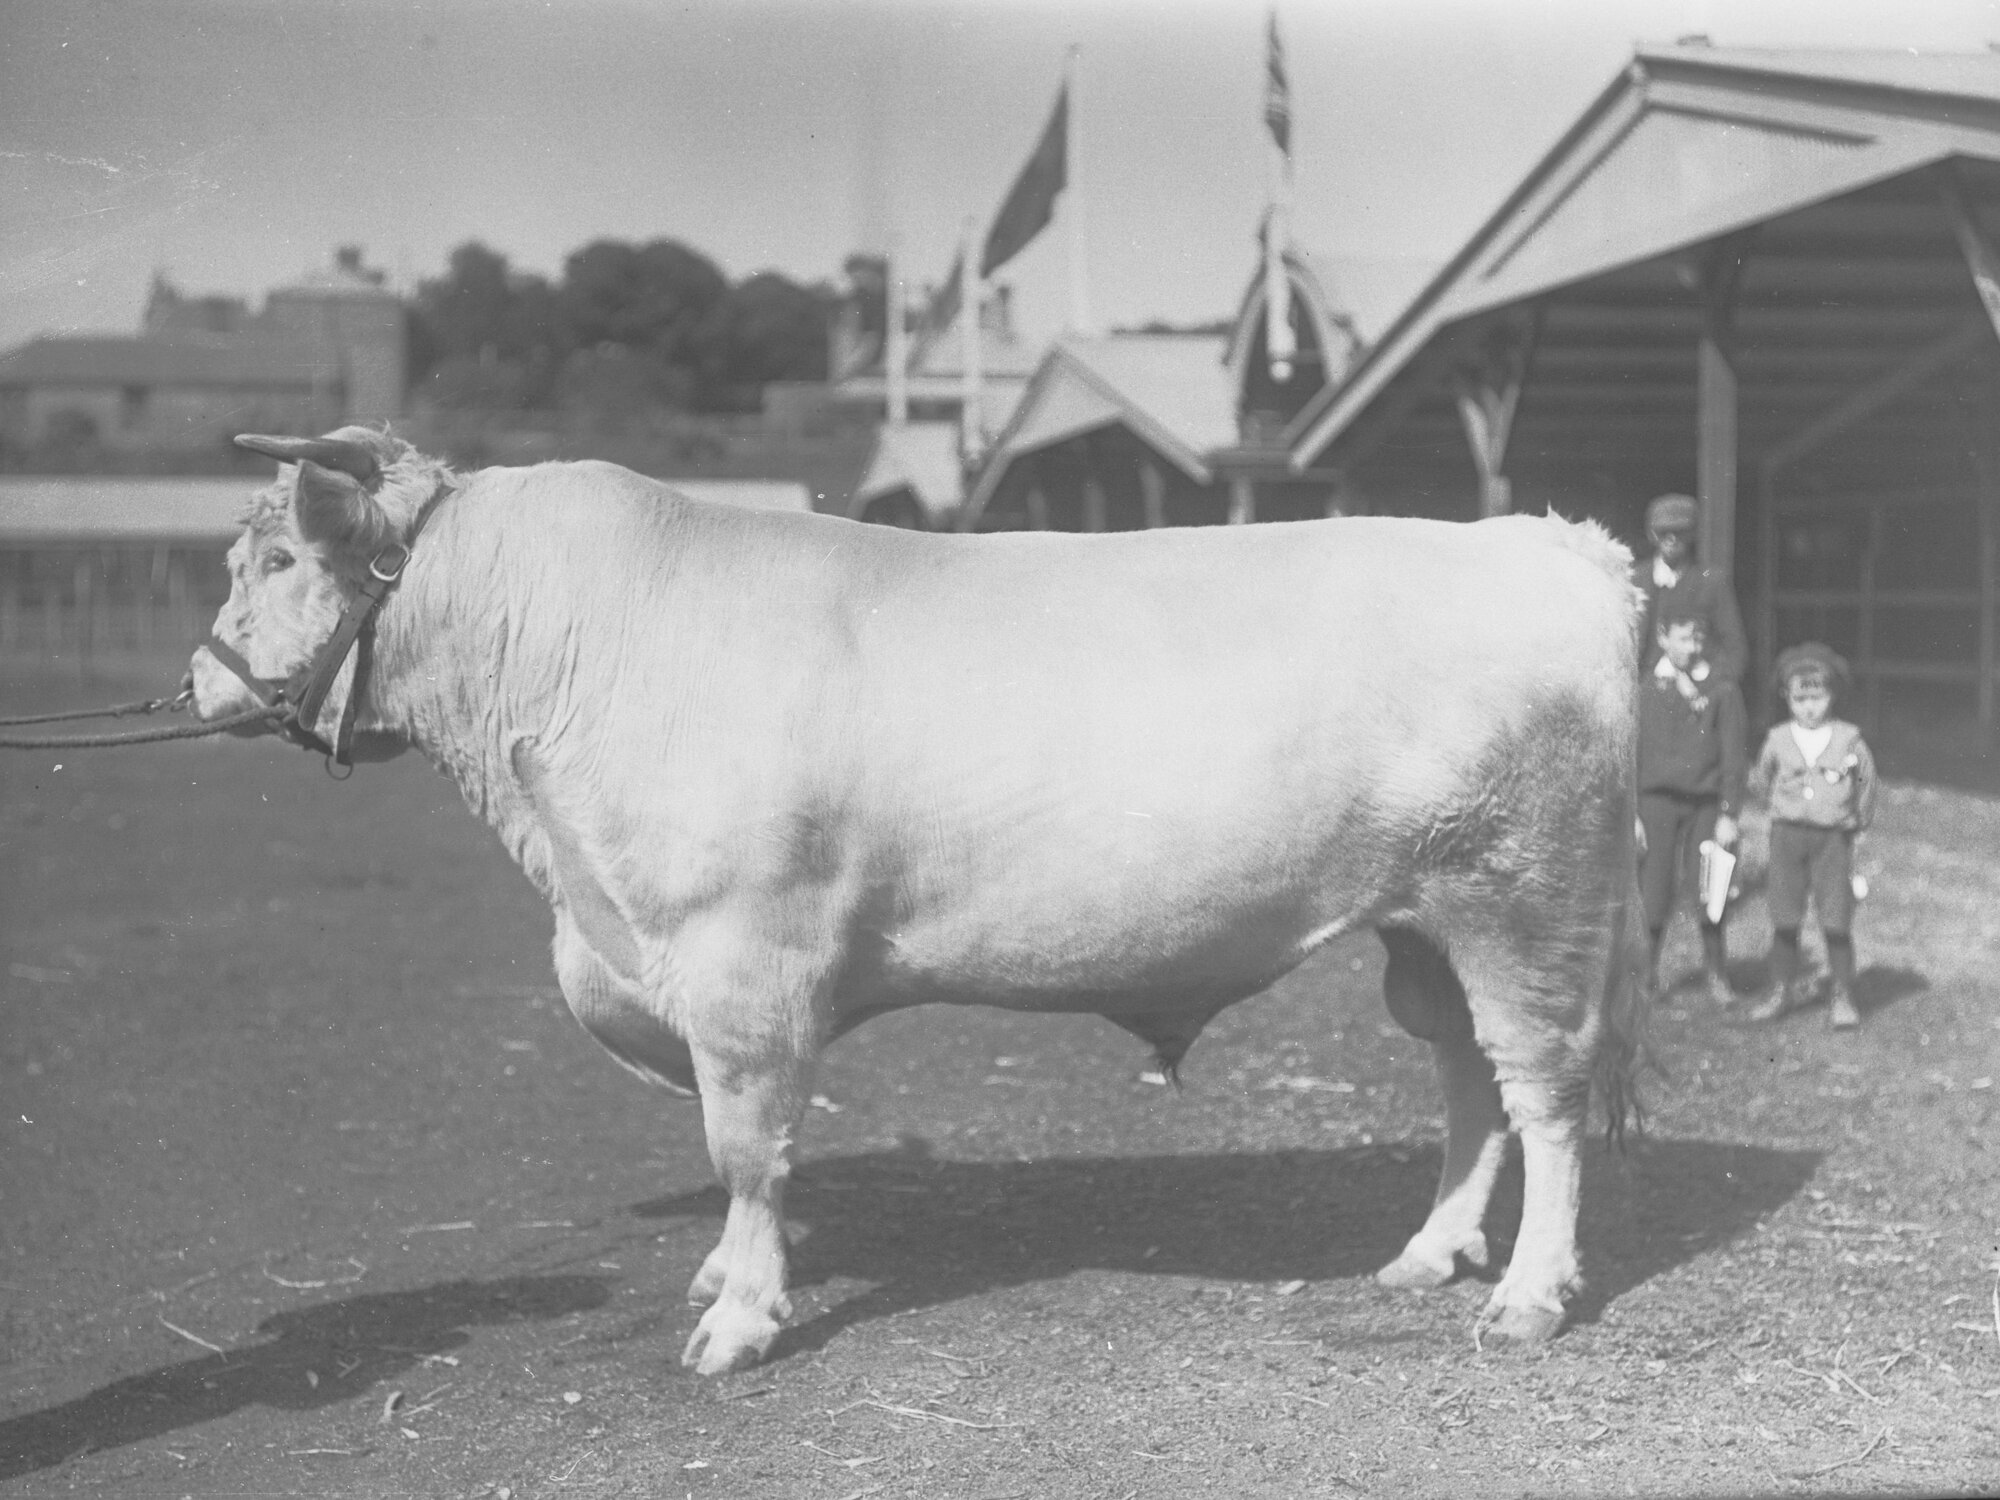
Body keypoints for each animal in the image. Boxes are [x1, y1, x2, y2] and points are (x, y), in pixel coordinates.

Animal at [190, 426, 1647, 1376]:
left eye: (275, 562)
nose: (198, 679)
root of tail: (1548, 545)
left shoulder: (743, 966)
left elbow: (746, 1147)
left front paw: (737, 1316)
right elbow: (746, 1158)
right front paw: (732, 1272)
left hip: (1526, 903)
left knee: (1545, 1095)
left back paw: (1528, 1297)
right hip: (1426, 927)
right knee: (1468, 1081)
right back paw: (1433, 1250)